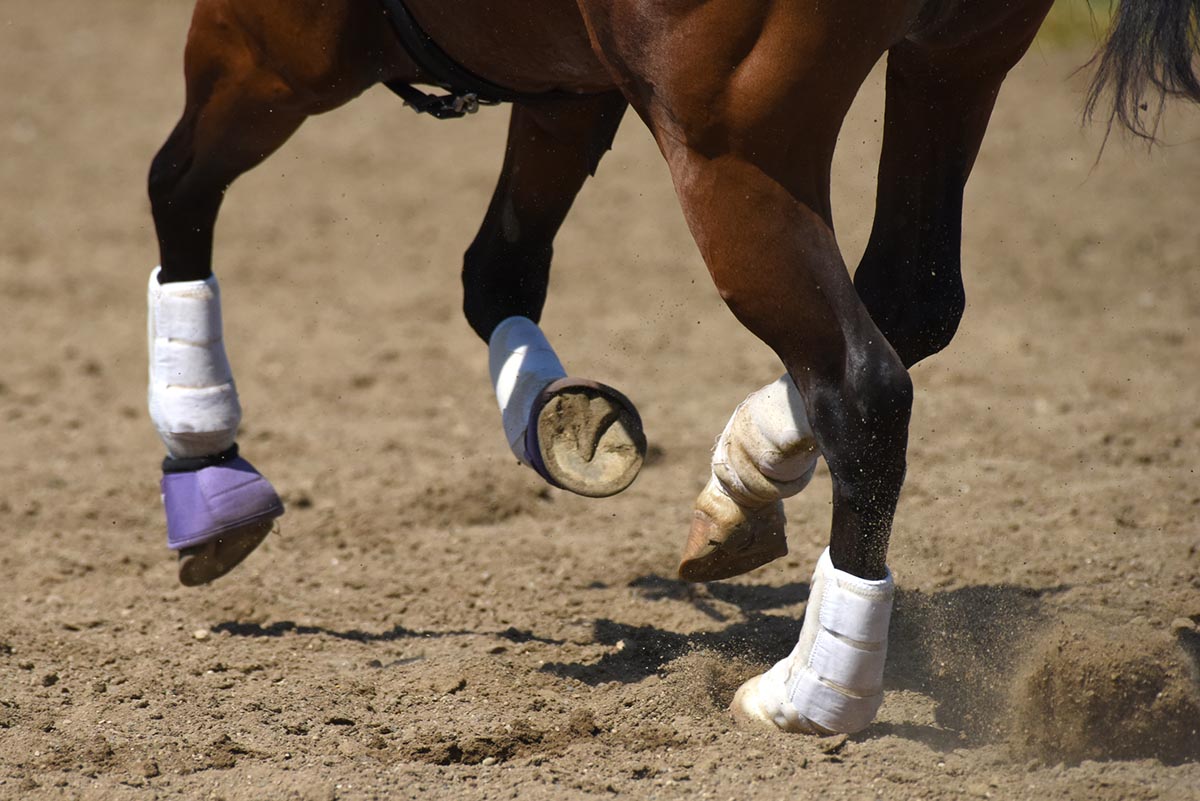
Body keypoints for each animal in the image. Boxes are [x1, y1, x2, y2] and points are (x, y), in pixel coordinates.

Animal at [145, 0, 1200, 735]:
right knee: (908, 304)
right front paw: (572, 425)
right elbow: (498, 270)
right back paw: (745, 482)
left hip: (729, 142)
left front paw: (204, 464)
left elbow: (176, 194)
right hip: (954, 63)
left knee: (862, 380)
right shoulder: (565, 86)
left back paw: (815, 693)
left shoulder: (265, 43)